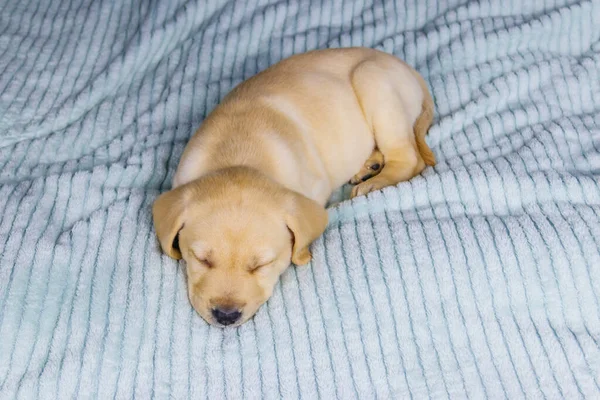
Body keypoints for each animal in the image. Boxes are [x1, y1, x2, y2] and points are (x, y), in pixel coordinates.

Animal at [154, 47, 436, 328]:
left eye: (261, 265)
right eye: (202, 259)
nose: (225, 315)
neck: (238, 154)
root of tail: (408, 70)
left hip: (375, 84)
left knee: (410, 158)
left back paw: (377, 181)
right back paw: (370, 165)